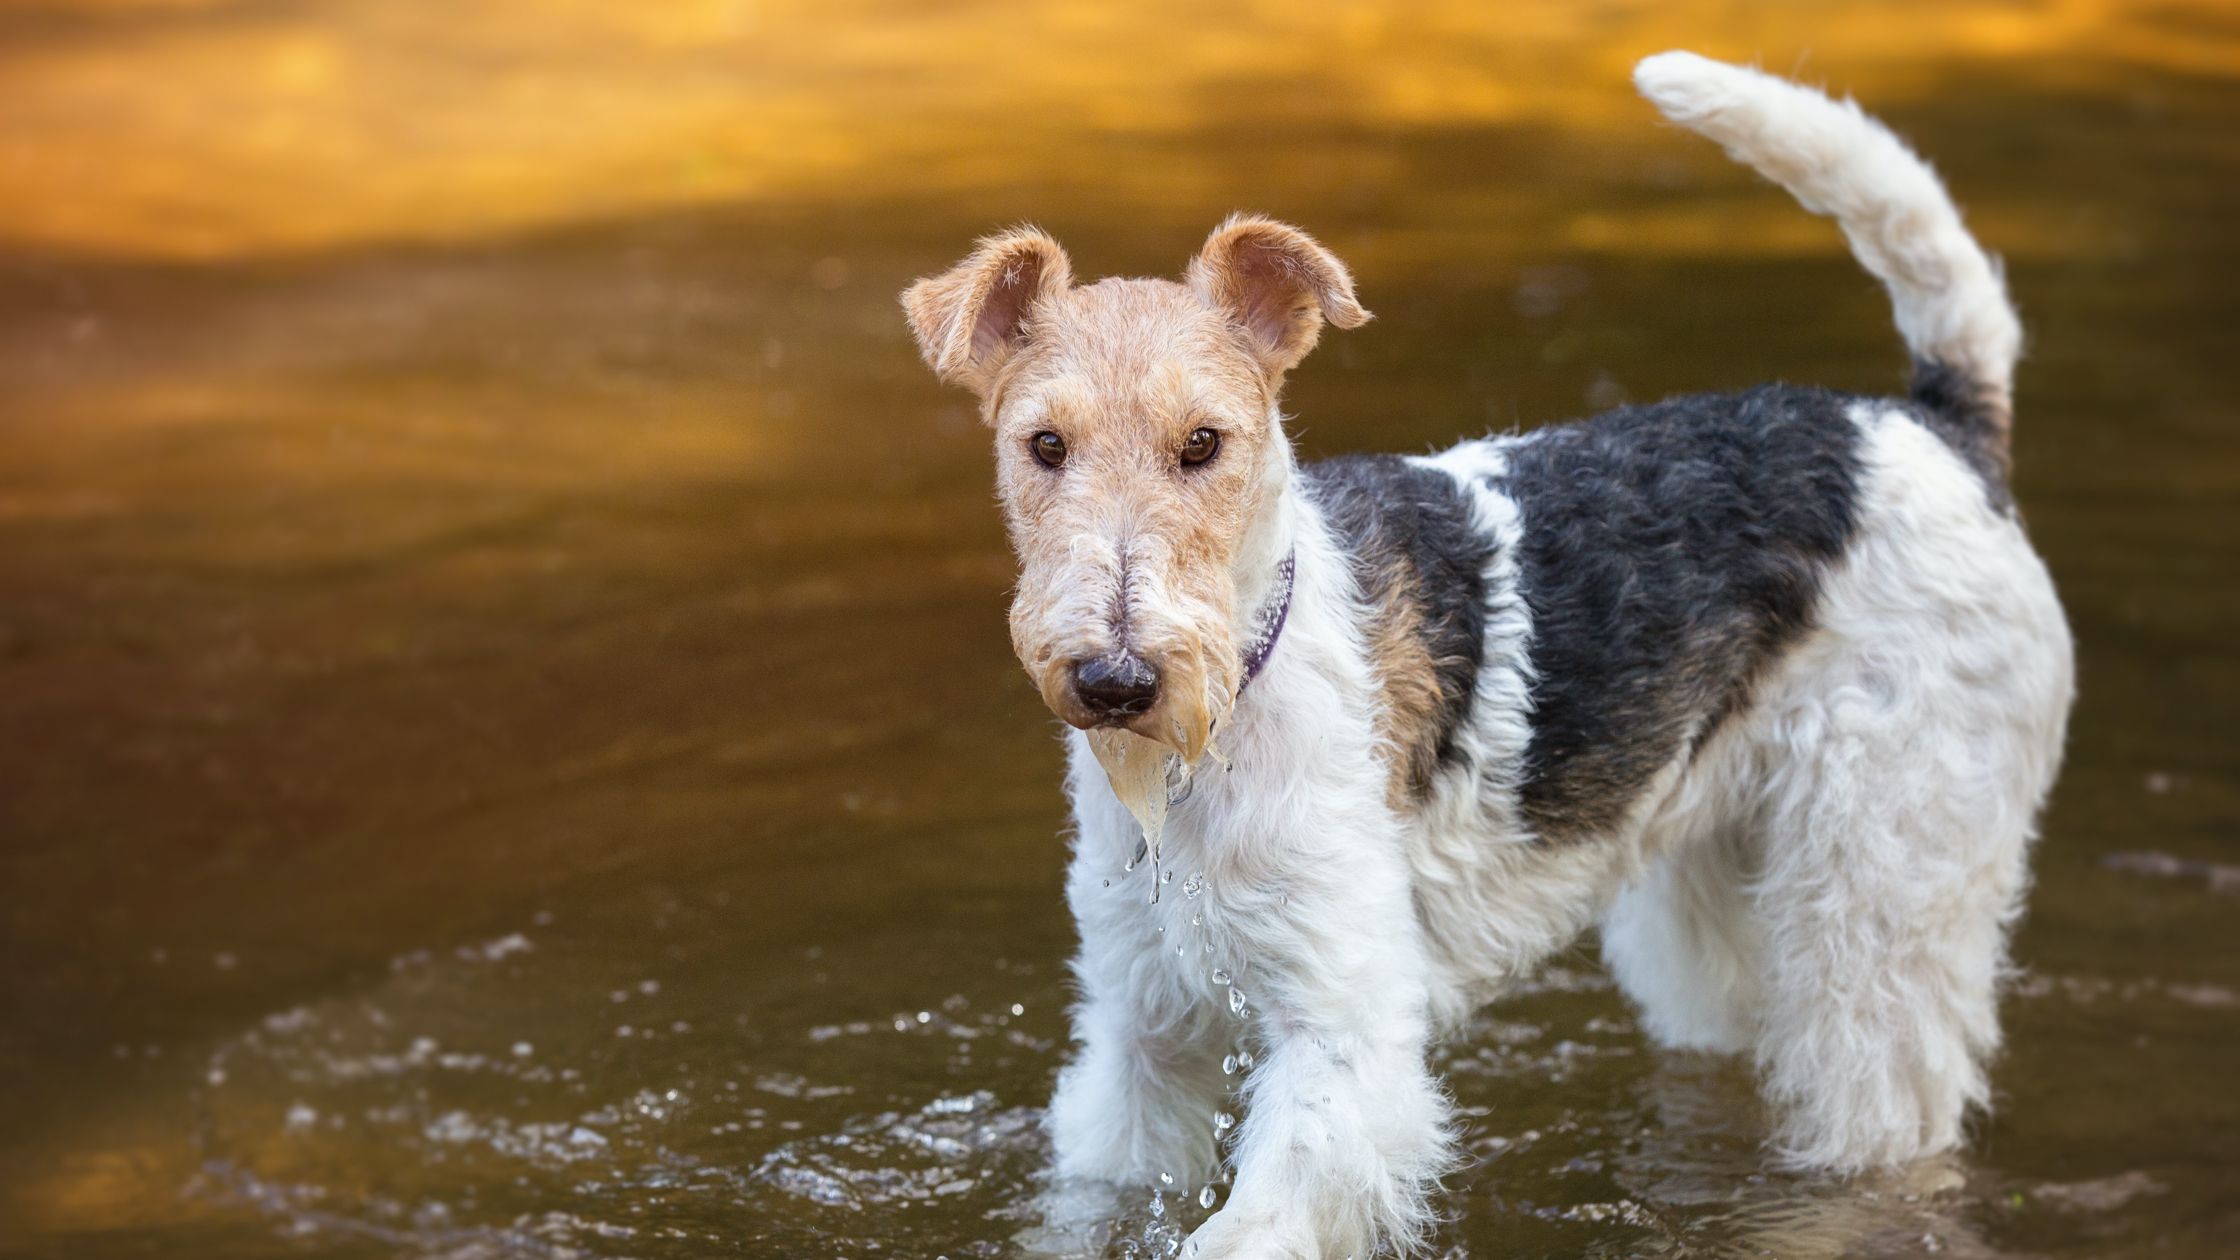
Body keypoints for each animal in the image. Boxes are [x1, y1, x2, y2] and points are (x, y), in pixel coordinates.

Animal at [900, 51, 2069, 1255]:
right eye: (1044, 445)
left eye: (1204, 444)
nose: (1118, 681)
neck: (1225, 718)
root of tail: (1933, 429)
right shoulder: (1140, 1035)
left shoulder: (1342, 1032)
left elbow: (1252, 1219)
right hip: (1711, 904)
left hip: (1882, 902)